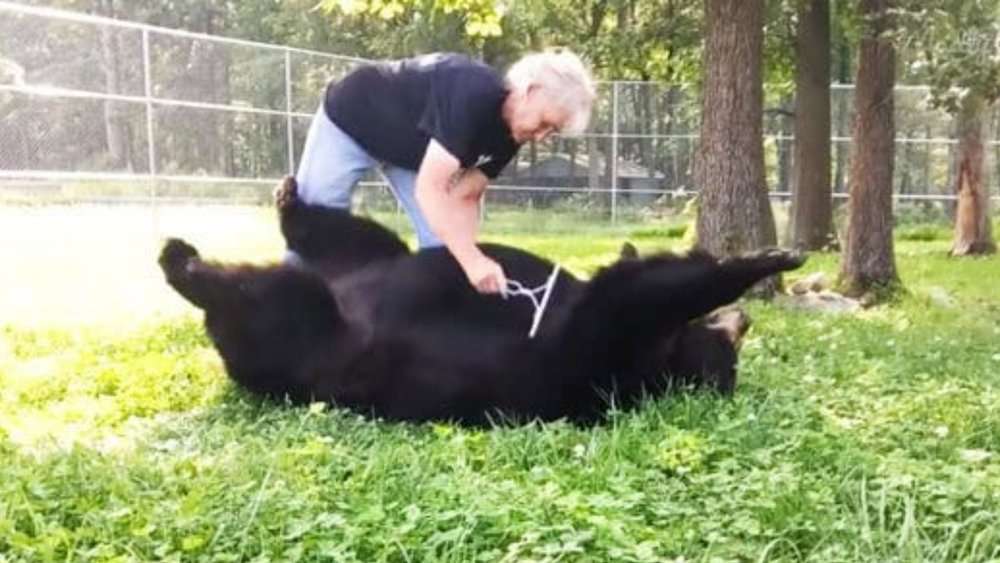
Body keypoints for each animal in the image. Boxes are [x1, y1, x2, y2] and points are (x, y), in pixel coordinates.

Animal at [158, 177, 804, 426]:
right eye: (732, 337)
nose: (743, 319)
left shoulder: (606, 342)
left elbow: (641, 289)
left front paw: (767, 258)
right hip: (375, 258)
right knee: (353, 236)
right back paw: (286, 203)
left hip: (318, 338)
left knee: (268, 301)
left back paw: (185, 262)